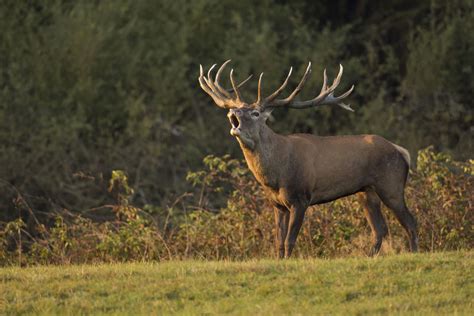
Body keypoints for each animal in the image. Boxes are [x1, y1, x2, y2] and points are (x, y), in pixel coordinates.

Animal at [198, 60, 416, 258]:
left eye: (255, 112)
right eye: (238, 109)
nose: (232, 112)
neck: (276, 174)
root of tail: (402, 151)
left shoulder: (301, 197)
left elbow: (289, 240)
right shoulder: (277, 204)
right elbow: (278, 241)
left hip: (391, 184)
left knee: (410, 221)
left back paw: (414, 252)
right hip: (366, 192)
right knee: (380, 229)